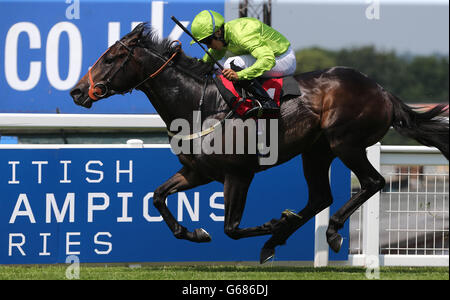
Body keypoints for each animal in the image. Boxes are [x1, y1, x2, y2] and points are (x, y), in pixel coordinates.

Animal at [70, 22, 450, 262]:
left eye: (111, 58)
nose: (77, 91)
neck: (201, 104)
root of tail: (382, 90)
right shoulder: (197, 173)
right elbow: (158, 197)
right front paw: (194, 233)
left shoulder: (238, 174)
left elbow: (232, 228)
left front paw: (270, 223)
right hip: (315, 152)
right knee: (321, 196)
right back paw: (277, 239)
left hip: (346, 143)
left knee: (373, 182)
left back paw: (325, 232)